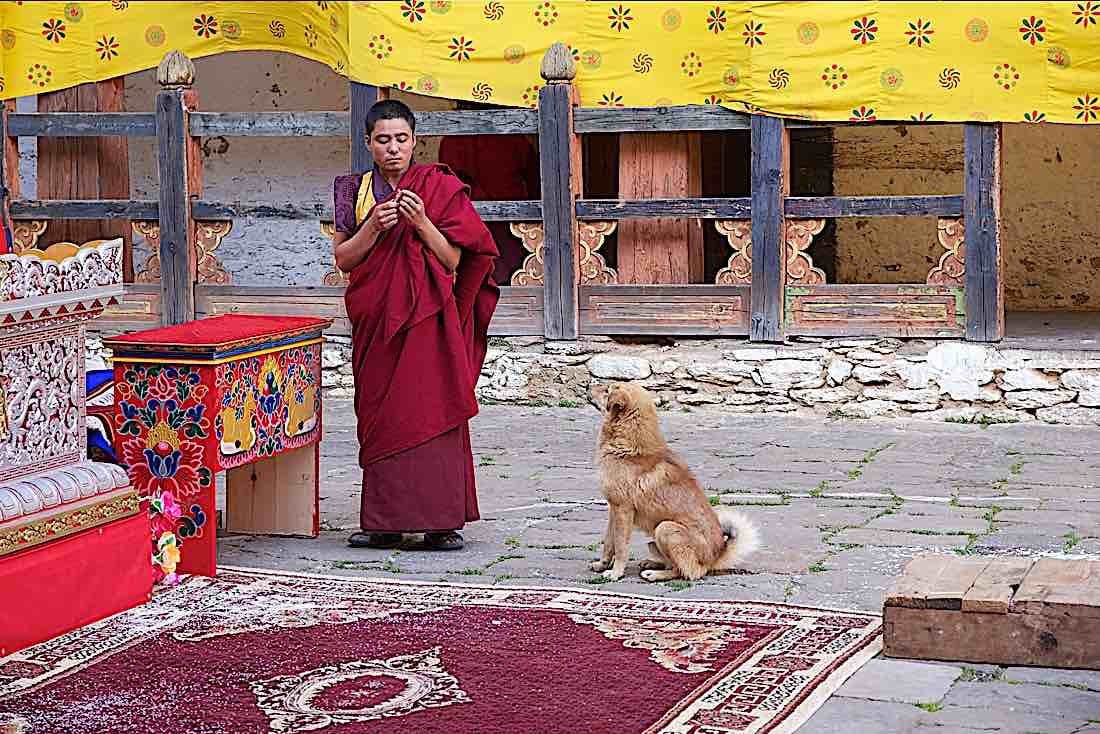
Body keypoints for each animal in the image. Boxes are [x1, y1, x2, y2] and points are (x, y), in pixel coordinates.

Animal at [594, 382, 756, 581]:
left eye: (607, 390)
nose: (587, 386)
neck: (629, 446)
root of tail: (716, 557)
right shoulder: (614, 509)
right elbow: (609, 542)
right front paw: (602, 564)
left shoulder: (623, 510)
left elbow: (620, 547)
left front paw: (616, 573)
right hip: (654, 540)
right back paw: (651, 563)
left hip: (665, 528)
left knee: (687, 571)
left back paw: (655, 574)